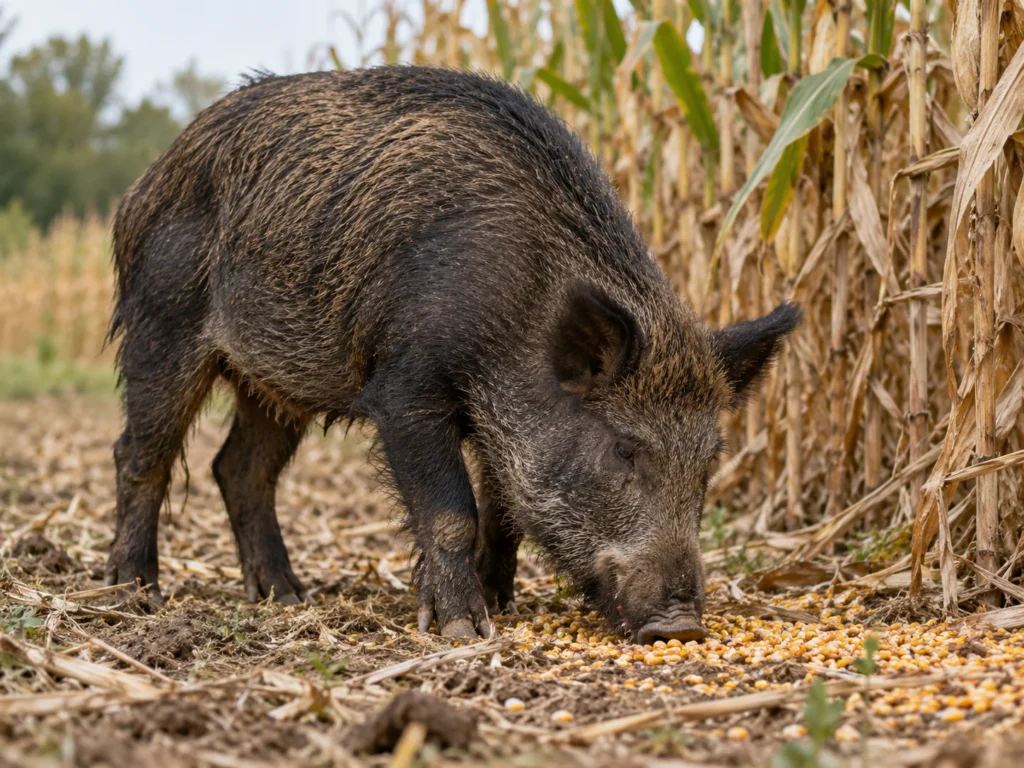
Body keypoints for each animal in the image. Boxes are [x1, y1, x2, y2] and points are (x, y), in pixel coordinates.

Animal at [106, 66, 800, 642]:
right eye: (624, 450)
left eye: (710, 460)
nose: (681, 626)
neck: (518, 316)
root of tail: (142, 184)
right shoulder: (403, 387)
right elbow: (451, 513)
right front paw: (464, 629)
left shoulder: (499, 425)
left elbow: (503, 515)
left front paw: (499, 605)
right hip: (160, 325)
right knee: (141, 455)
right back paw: (135, 593)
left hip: (274, 383)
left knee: (239, 469)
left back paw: (287, 596)